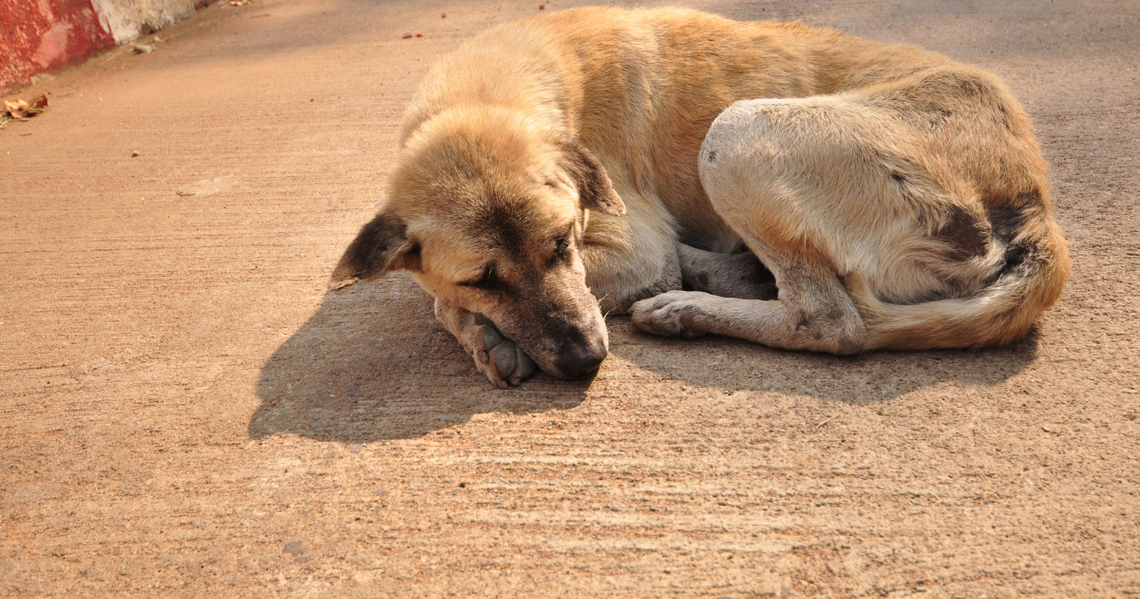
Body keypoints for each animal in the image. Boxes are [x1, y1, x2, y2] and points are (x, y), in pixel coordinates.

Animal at [328, 5, 1067, 387]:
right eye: (484, 276)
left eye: (562, 243)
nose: (586, 361)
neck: (494, 88)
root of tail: (1038, 205)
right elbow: (438, 293)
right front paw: (486, 333)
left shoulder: (630, 247)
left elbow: (432, 299)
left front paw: (484, 335)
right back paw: (724, 276)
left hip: (737, 130)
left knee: (829, 321)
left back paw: (687, 306)